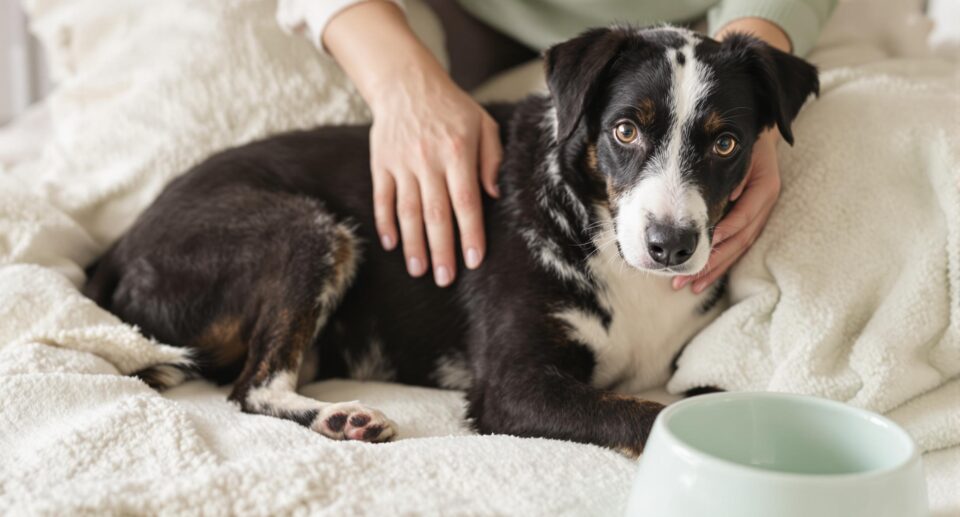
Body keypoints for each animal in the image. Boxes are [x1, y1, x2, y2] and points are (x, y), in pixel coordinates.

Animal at [80, 25, 816, 452]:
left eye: (726, 143)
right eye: (626, 130)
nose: (670, 244)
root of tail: (116, 250)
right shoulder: (513, 386)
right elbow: (647, 413)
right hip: (307, 231)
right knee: (252, 388)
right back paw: (338, 419)